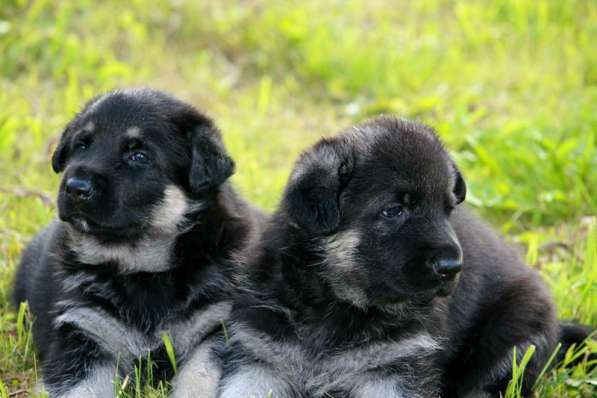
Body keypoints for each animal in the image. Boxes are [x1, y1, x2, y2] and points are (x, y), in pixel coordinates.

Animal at [11, 88, 264, 396]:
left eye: (139, 156)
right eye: (81, 145)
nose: (75, 188)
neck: (142, 269)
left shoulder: (216, 328)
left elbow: (199, 378)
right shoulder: (84, 332)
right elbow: (83, 387)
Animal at [218, 117, 588, 398]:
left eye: (447, 210)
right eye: (394, 210)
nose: (453, 267)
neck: (336, 305)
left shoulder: (394, 372)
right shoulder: (260, 359)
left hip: (510, 341)